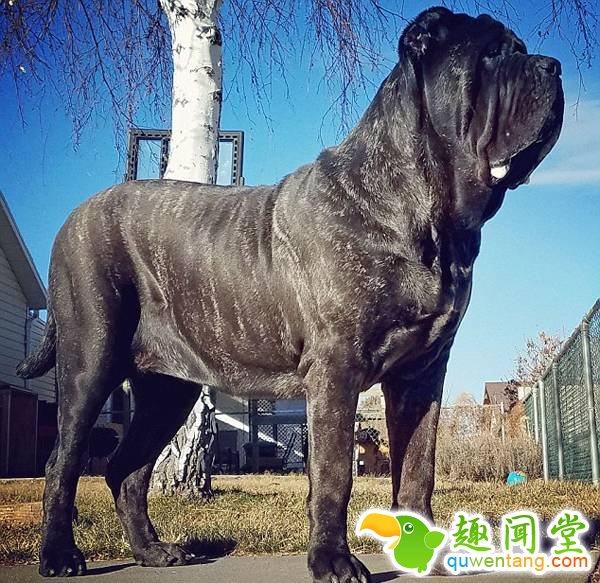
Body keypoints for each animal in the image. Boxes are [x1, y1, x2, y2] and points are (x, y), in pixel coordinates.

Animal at [18, 6, 563, 581]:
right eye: (492, 54)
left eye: (519, 47)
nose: (552, 67)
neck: (431, 215)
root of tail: (76, 215)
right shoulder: (336, 367)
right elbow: (334, 473)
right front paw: (333, 561)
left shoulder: (422, 373)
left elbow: (418, 466)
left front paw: (427, 557)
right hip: (90, 359)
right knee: (64, 462)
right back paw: (59, 556)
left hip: (169, 387)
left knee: (127, 467)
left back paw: (155, 551)